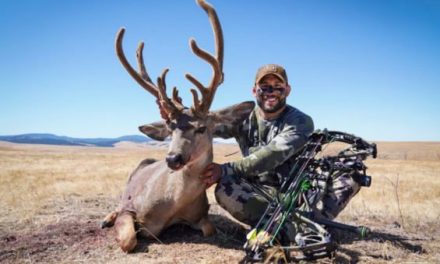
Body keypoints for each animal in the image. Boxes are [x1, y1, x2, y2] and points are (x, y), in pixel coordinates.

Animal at [102, 0, 254, 252]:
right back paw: (106, 218)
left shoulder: (201, 216)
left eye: (202, 128)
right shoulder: (132, 208)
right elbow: (129, 239)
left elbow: (210, 229)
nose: (173, 158)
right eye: (170, 128)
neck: (173, 205)